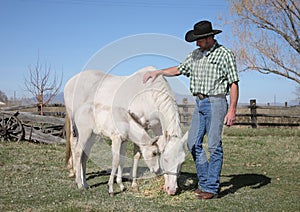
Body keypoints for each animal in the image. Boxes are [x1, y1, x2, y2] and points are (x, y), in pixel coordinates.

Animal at [65, 66, 186, 195]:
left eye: (182, 162)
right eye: (166, 159)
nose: (172, 189)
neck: (149, 95)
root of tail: (70, 82)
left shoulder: (154, 126)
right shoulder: (139, 125)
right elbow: (137, 155)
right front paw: (133, 184)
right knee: (75, 146)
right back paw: (75, 175)